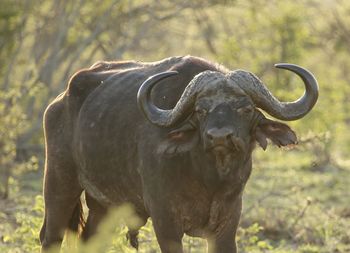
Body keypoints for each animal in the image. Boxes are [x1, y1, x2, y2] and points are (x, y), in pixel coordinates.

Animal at [39, 54, 318, 251]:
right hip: (59, 184)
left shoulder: (227, 224)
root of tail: (60, 101)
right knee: (50, 237)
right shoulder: (165, 222)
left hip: (103, 205)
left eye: (246, 109)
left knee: (90, 241)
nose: (219, 137)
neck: (210, 179)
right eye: (201, 110)